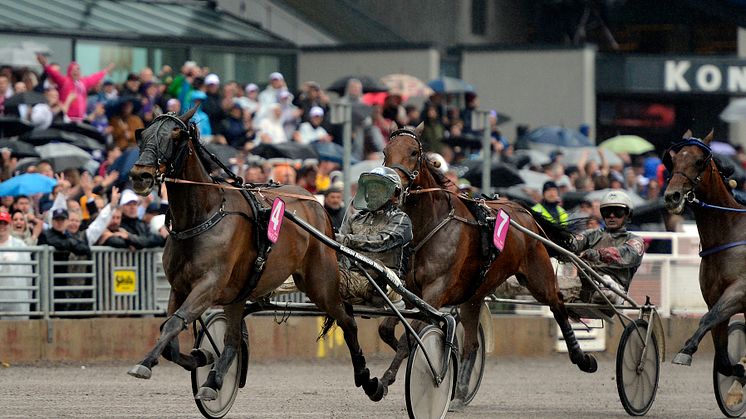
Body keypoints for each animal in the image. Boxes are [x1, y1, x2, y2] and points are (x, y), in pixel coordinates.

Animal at [126, 110, 384, 404]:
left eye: (175, 135)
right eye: (143, 134)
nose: (140, 174)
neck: (203, 216)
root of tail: (315, 202)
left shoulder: (208, 285)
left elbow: (175, 322)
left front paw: (144, 364)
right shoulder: (180, 287)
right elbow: (170, 333)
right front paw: (200, 357)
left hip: (320, 282)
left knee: (347, 321)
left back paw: (368, 379)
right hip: (240, 293)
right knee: (232, 340)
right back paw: (213, 381)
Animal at [380, 125, 596, 410]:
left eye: (414, 152)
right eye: (385, 151)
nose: (393, 188)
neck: (431, 226)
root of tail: (522, 210)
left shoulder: (435, 293)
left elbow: (409, 338)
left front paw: (387, 378)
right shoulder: (409, 291)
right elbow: (386, 330)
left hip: (538, 276)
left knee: (558, 305)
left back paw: (582, 358)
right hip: (473, 297)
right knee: (472, 343)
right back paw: (460, 392)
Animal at [664, 132, 746, 398]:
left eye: (699, 161)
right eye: (673, 160)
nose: (672, 196)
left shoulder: (739, 291)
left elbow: (708, 318)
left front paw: (686, 351)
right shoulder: (713, 297)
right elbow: (721, 355)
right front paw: (739, 371)